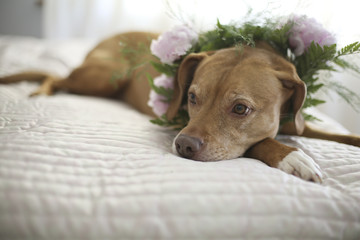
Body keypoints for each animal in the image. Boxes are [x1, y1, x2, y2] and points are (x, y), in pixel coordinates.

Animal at [0, 31, 360, 182]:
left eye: (240, 109)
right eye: (191, 98)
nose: (184, 145)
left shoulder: (297, 122)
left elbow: (339, 136)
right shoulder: (176, 122)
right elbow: (259, 143)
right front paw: (292, 157)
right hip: (101, 78)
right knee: (54, 76)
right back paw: (41, 92)